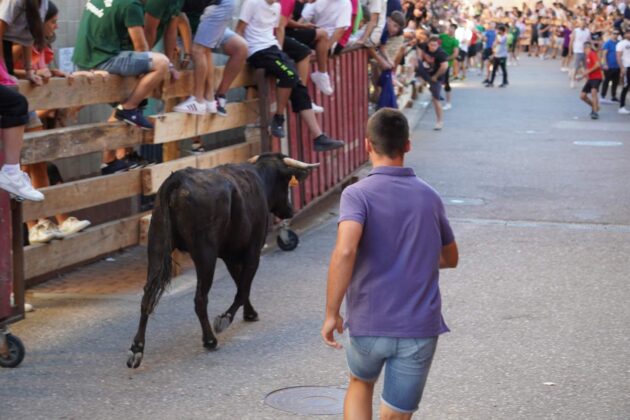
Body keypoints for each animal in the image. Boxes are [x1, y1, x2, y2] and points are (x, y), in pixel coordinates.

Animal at [127, 154, 320, 368]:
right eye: (286, 183)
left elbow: (240, 283)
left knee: (148, 297)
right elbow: (243, 288)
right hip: (205, 255)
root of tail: (178, 179)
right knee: (200, 298)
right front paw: (226, 318)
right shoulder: (253, 251)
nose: (290, 211)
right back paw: (210, 339)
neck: (260, 178)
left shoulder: (229, 256)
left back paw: (137, 349)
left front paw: (250, 313)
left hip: (157, 247)